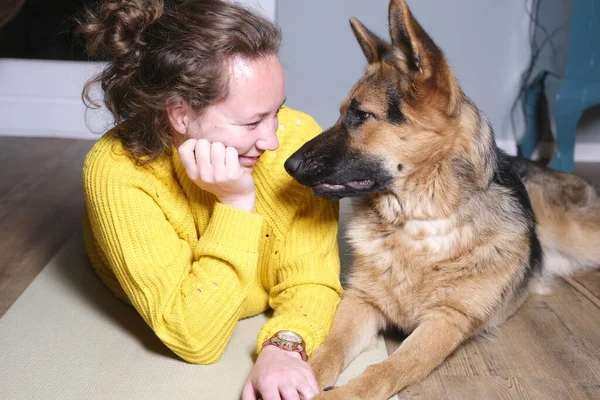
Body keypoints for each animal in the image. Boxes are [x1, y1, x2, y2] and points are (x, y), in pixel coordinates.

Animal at [284, 0, 596, 400]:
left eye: (360, 115)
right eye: (342, 114)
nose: (288, 165)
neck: (417, 222)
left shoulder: (446, 321)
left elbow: (385, 370)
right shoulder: (360, 301)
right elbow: (330, 348)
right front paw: (298, 373)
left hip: (578, 234)